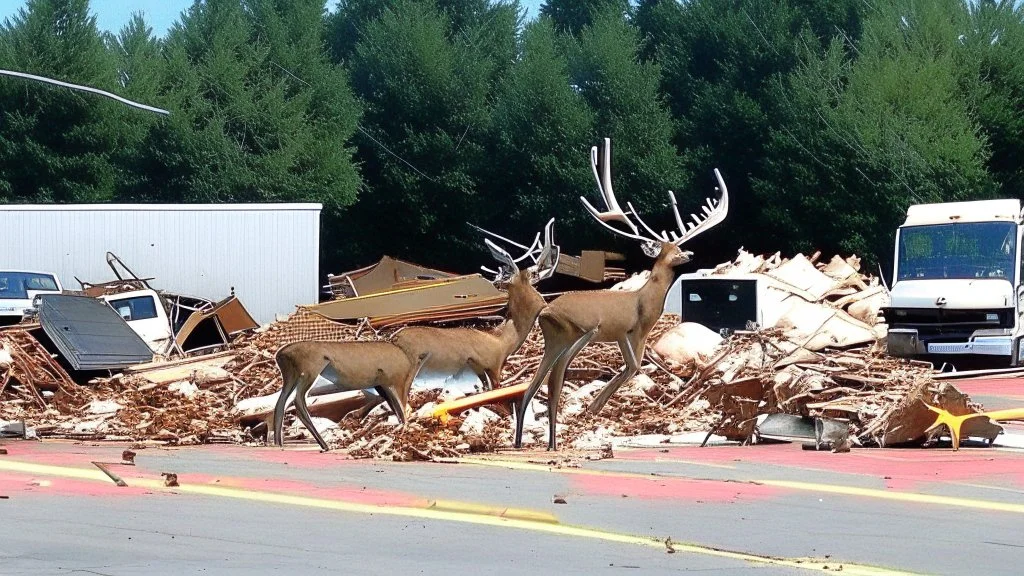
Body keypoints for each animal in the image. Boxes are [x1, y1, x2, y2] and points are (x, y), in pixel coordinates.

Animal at [512, 135, 729, 448]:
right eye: (669, 252)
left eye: (676, 249)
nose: (687, 255)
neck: (645, 300)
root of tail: (545, 309)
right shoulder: (636, 330)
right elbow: (635, 366)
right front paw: (594, 405)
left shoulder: (621, 335)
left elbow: (630, 366)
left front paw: (595, 405)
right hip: (573, 332)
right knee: (551, 381)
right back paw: (548, 441)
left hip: (557, 338)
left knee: (534, 386)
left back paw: (526, 441)